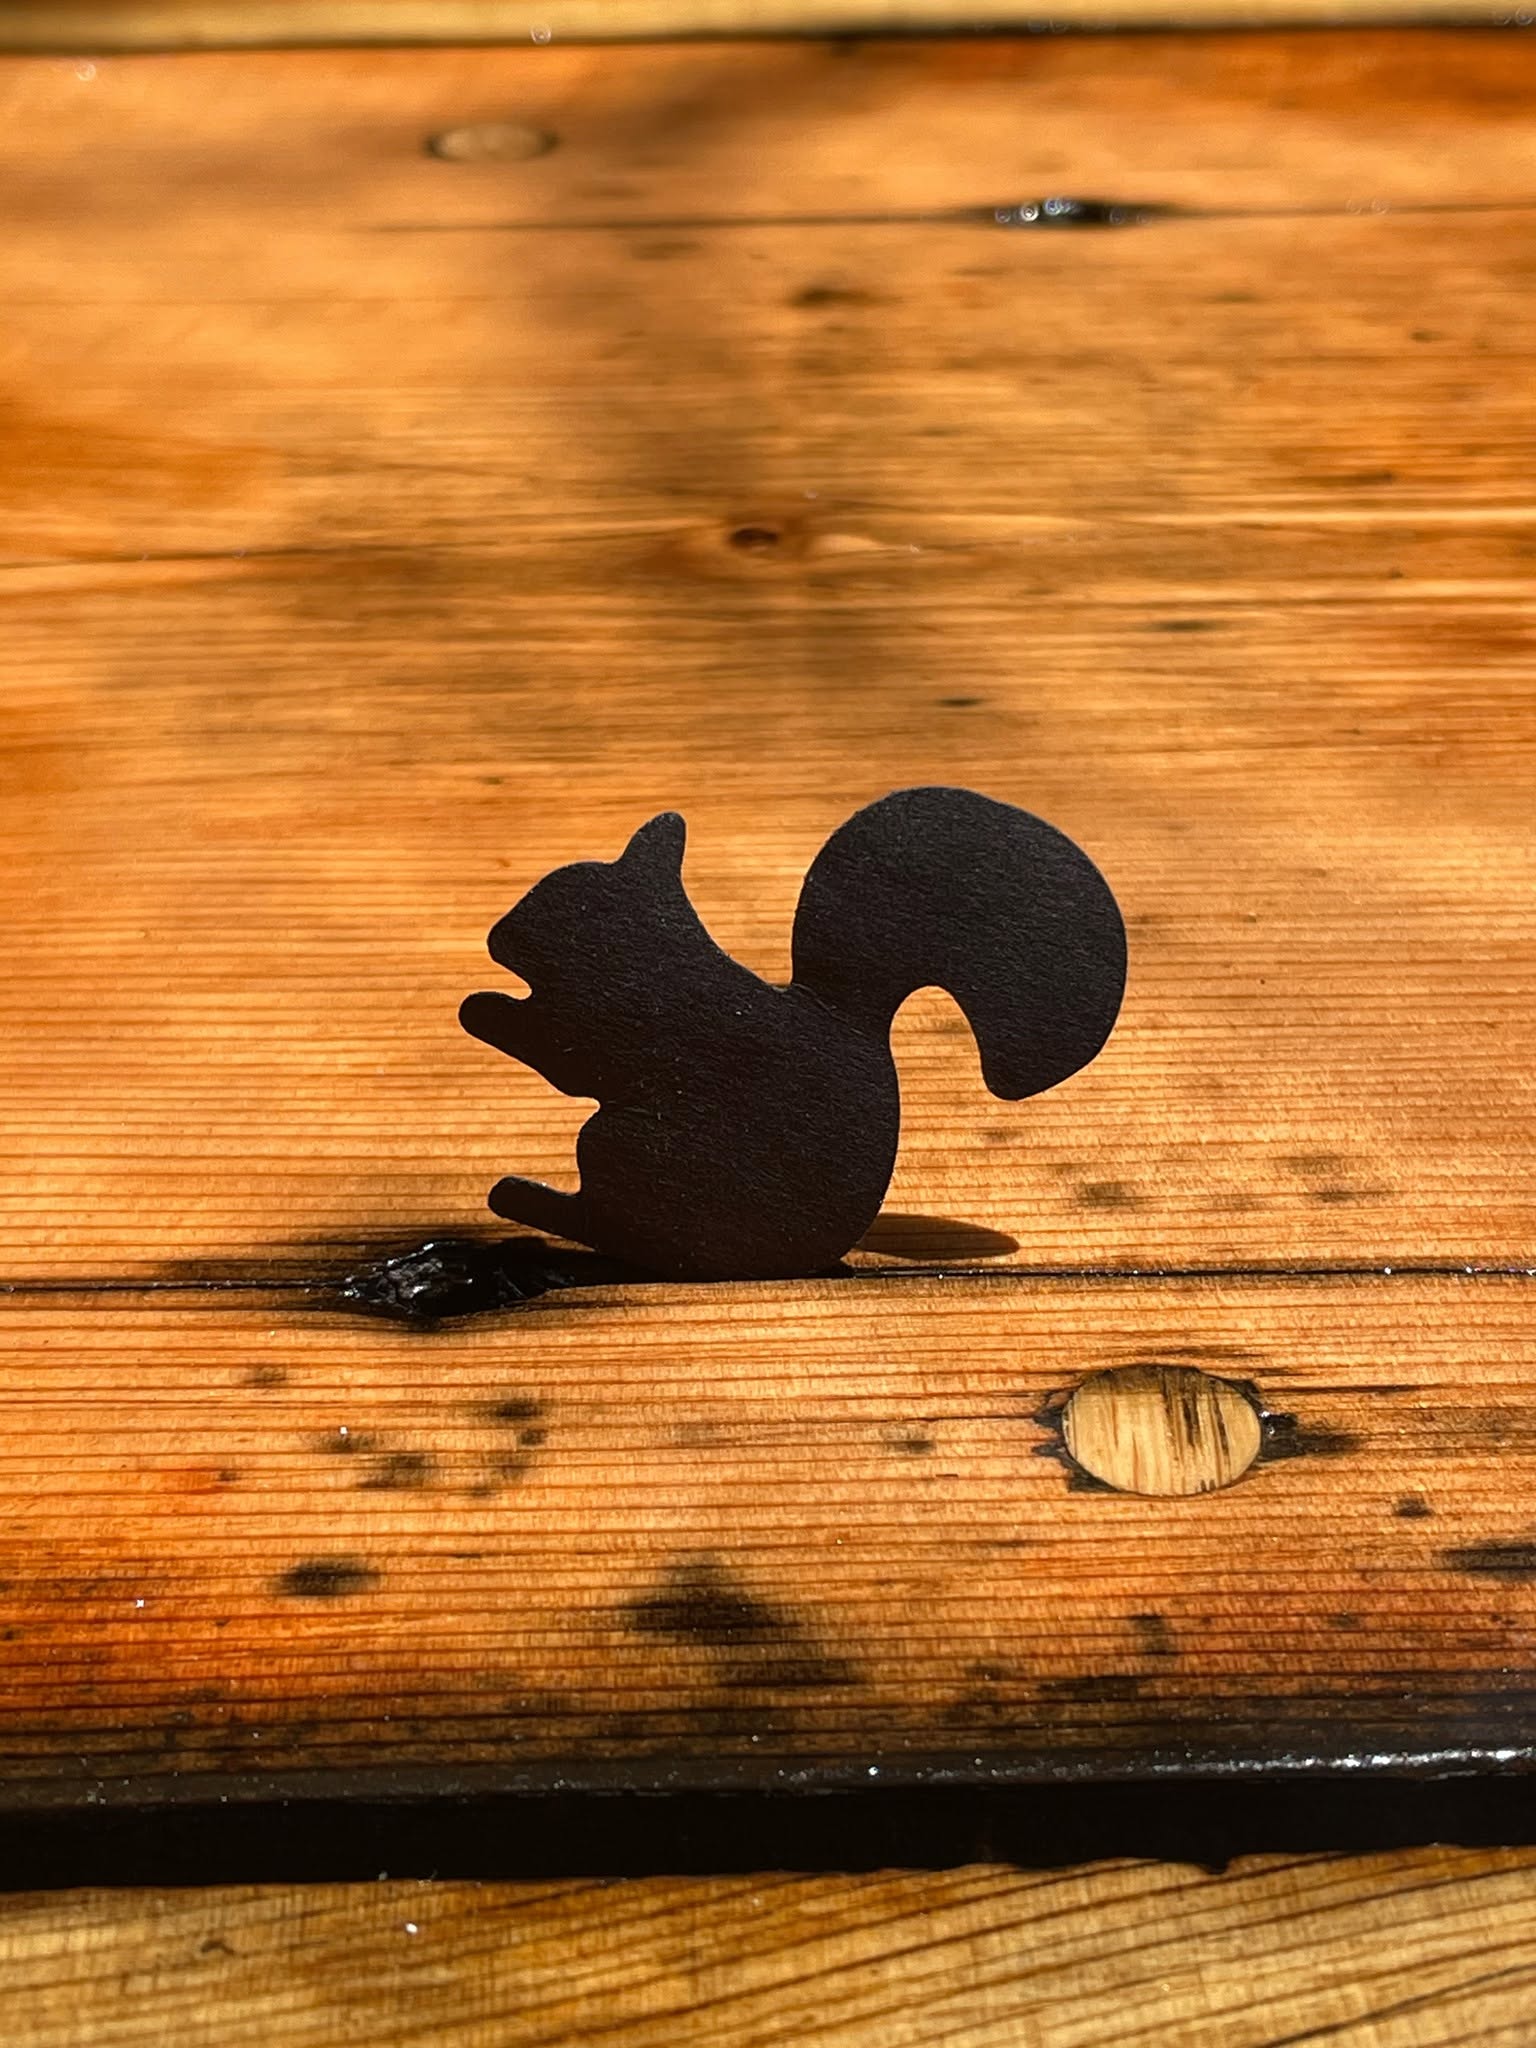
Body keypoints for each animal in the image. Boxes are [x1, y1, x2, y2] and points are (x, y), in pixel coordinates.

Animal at [459, 786, 1126, 1281]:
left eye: (557, 902)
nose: (494, 933)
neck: (648, 952)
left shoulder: (618, 1022)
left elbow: (558, 1049)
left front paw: (478, 1008)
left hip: (617, 1144)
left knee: (603, 1220)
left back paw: (524, 1199)